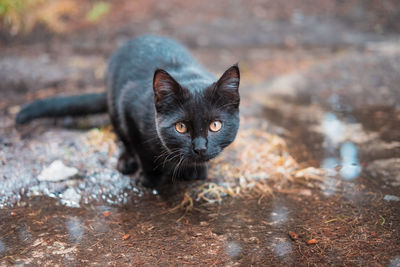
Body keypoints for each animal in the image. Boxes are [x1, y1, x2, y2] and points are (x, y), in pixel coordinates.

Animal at [16, 35, 241, 186]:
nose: (200, 148)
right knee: (122, 137)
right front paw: (150, 178)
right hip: (114, 103)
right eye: (181, 127)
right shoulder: (128, 107)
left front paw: (196, 169)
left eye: (215, 125)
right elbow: (141, 149)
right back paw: (126, 161)